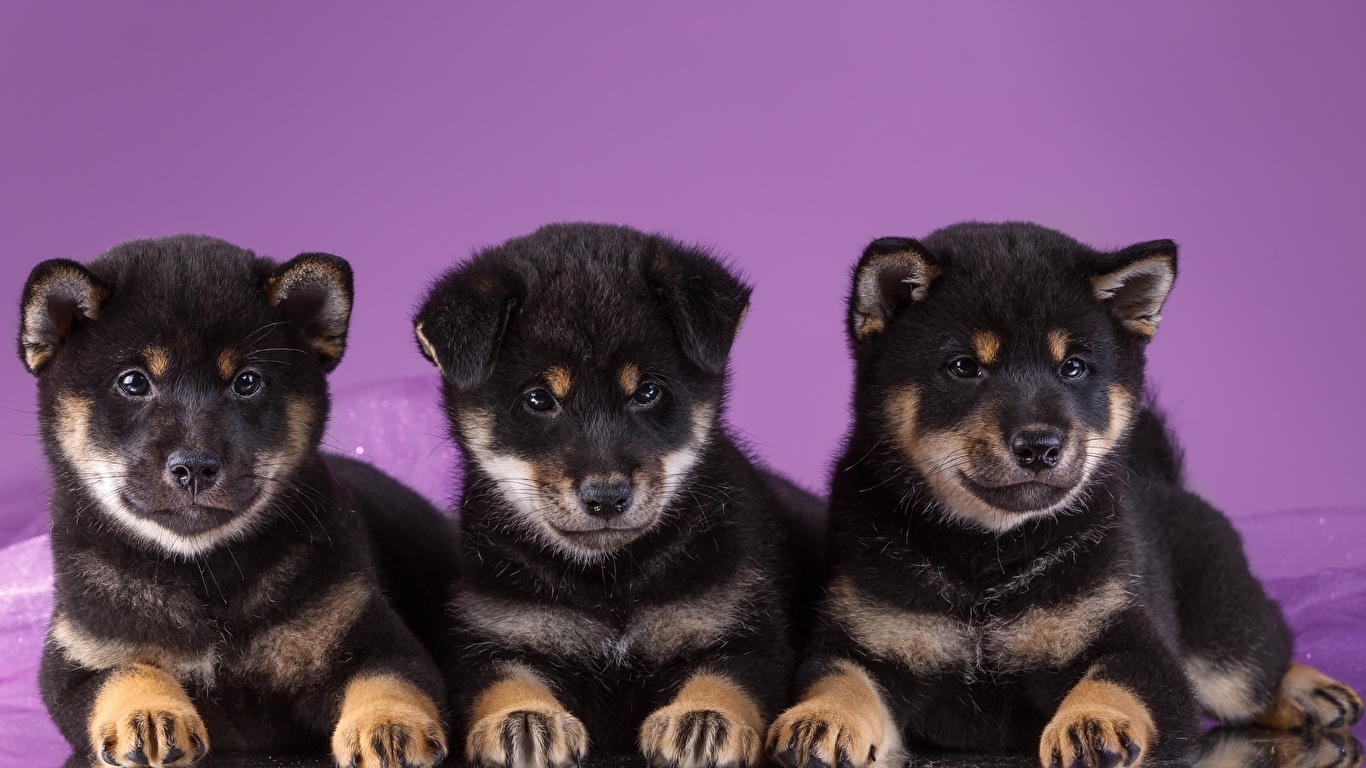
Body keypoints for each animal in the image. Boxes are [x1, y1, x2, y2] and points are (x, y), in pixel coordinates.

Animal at [21, 235, 456, 765]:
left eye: (246, 382)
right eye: (133, 382)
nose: (194, 467)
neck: (205, 571)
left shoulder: (371, 636)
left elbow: (389, 680)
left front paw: (389, 726)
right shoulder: (77, 659)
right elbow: (125, 672)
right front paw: (146, 715)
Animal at [415, 218, 814, 765]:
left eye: (648, 392)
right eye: (538, 399)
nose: (607, 498)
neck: (610, 580)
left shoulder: (749, 631)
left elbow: (726, 678)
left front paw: (704, 720)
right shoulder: (491, 637)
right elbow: (504, 681)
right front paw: (522, 721)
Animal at [764, 221, 1360, 765]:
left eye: (1073, 367)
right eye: (963, 367)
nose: (1040, 445)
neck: (988, 558)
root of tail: (1166, 482)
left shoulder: (1137, 647)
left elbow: (1115, 681)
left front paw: (1095, 721)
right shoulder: (865, 642)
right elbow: (840, 680)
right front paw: (823, 717)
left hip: (1224, 644)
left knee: (1264, 658)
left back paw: (1310, 689)